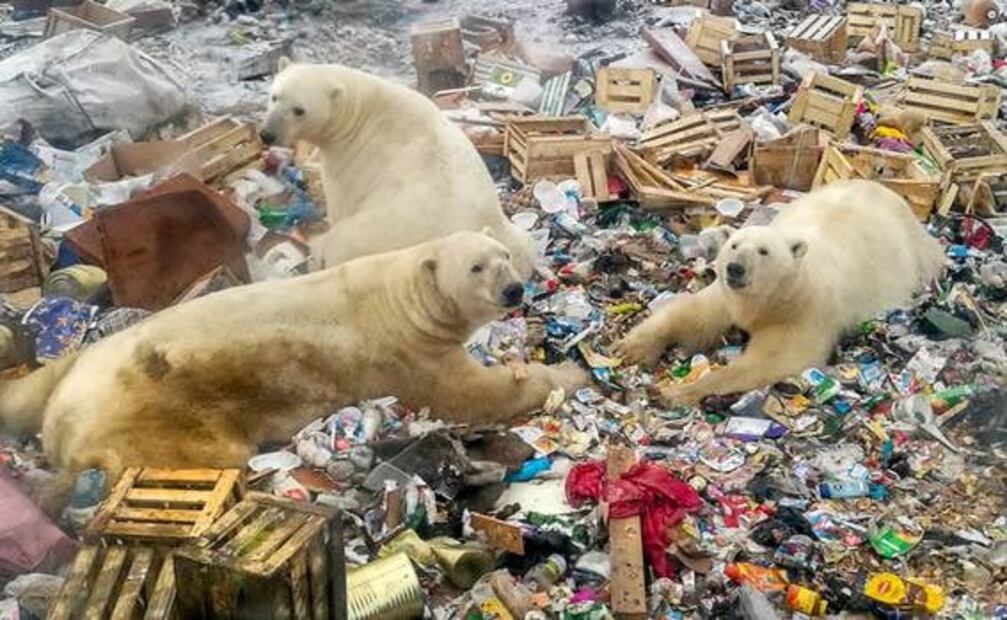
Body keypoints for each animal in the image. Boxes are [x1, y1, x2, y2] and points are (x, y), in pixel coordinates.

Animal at [0, 232, 588, 502]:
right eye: (476, 267)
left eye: (503, 254)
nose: (514, 290)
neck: (403, 299)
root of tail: (62, 424)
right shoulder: (407, 355)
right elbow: (472, 394)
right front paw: (571, 376)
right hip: (154, 415)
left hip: (81, 361)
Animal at [259, 60, 537, 277]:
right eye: (274, 96)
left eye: (299, 110)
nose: (267, 134)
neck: (360, 109)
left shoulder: (352, 158)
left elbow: (340, 203)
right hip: (510, 233)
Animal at [615, 180, 945, 405]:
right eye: (734, 245)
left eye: (763, 251)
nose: (735, 269)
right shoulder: (727, 297)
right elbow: (691, 316)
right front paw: (630, 349)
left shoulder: (802, 313)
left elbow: (771, 360)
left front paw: (674, 391)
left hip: (914, 257)